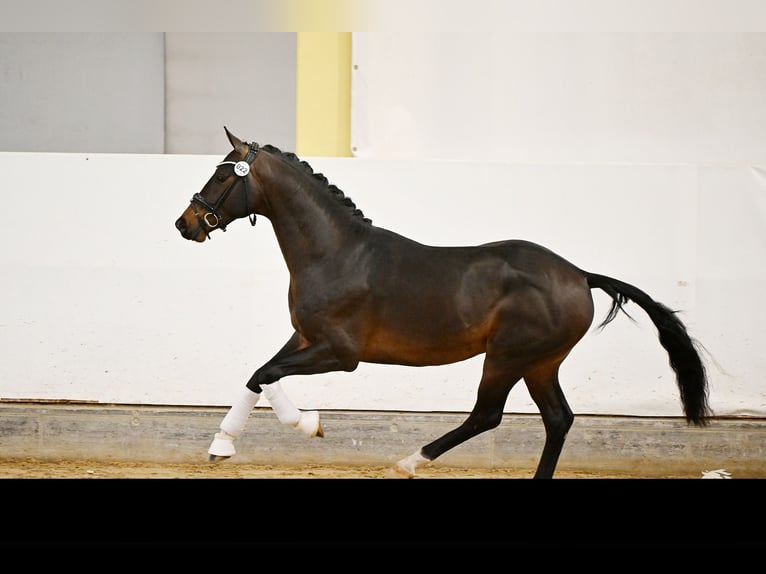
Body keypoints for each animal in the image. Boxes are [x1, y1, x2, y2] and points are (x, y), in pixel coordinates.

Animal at [176, 128, 712, 480]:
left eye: (222, 178)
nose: (186, 223)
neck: (336, 253)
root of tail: (579, 275)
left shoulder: (341, 353)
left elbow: (269, 374)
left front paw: (307, 425)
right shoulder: (305, 337)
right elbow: (258, 374)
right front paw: (224, 444)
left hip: (508, 357)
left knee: (487, 415)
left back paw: (408, 462)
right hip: (542, 363)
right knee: (558, 419)